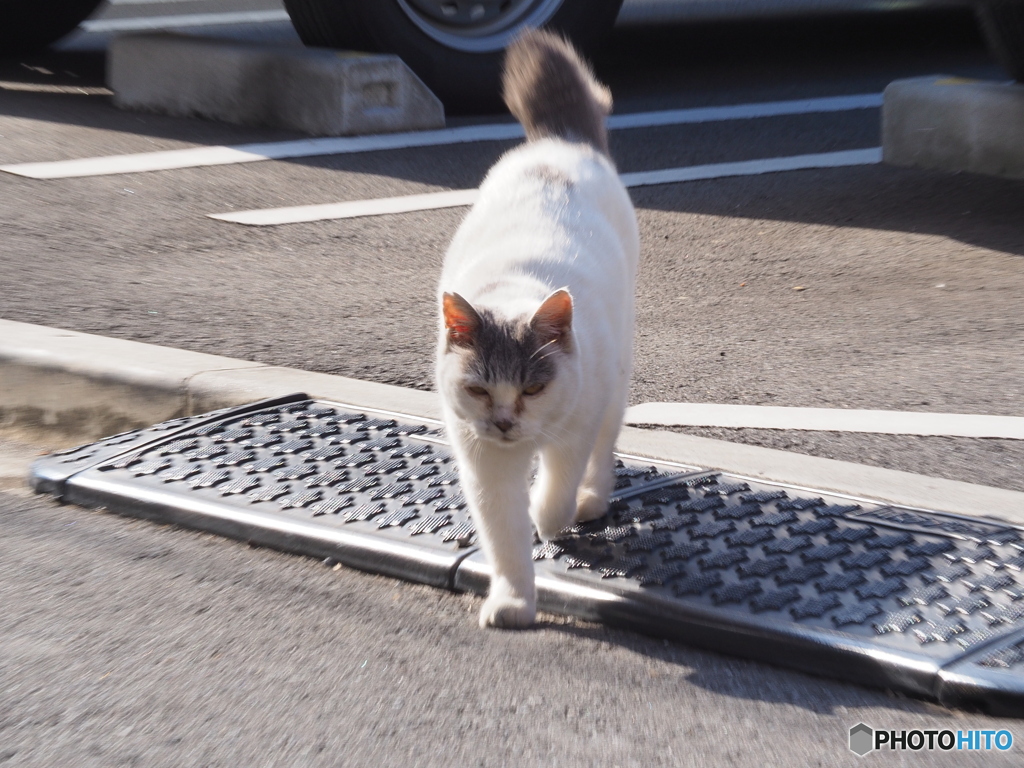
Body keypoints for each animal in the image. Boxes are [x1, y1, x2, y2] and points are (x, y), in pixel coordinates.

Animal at [434, 30, 638, 630]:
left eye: (533, 387)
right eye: (479, 389)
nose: (504, 422)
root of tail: (559, 142)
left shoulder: (574, 426)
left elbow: (555, 490)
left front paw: (551, 519)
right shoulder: (485, 465)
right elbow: (505, 536)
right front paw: (513, 603)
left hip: (615, 380)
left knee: (602, 452)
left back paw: (591, 501)